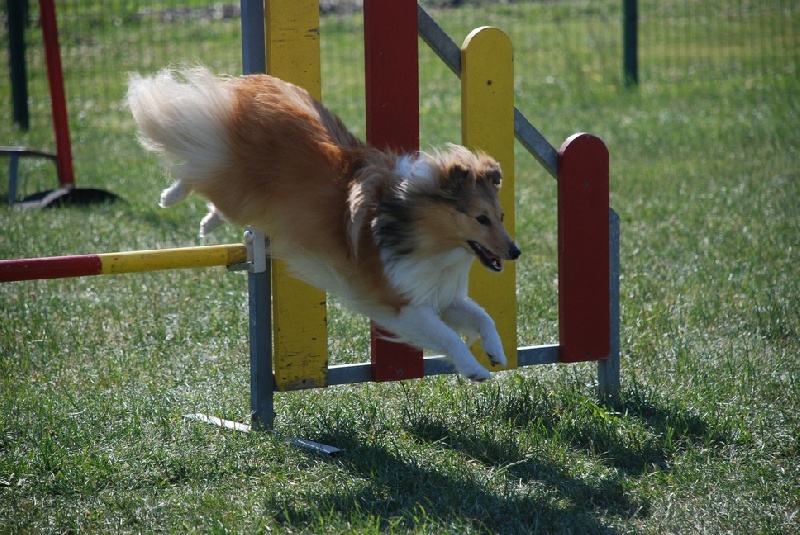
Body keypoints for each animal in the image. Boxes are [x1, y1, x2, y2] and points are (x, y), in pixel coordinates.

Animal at [126, 68, 520, 382]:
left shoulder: (437, 294)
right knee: (197, 166)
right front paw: (474, 369)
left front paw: (496, 351)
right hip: (236, 186)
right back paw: (171, 196)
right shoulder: (399, 303)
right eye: (480, 218)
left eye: (500, 217)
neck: (413, 221)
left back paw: (206, 220)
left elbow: (482, 316)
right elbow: (449, 336)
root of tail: (258, 84)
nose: (515, 251)